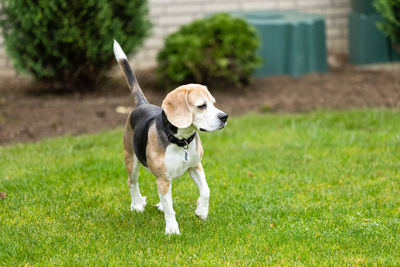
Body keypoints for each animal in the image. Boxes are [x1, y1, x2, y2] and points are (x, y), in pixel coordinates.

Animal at [113, 40, 228, 236]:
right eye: (202, 106)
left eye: (213, 103)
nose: (224, 117)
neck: (181, 141)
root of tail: (142, 104)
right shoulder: (163, 179)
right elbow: (170, 208)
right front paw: (172, 229)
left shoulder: (195, 166)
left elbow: (206, 190)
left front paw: (201, 211)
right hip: (131, 159)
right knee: (132, 182)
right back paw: (137, 204)